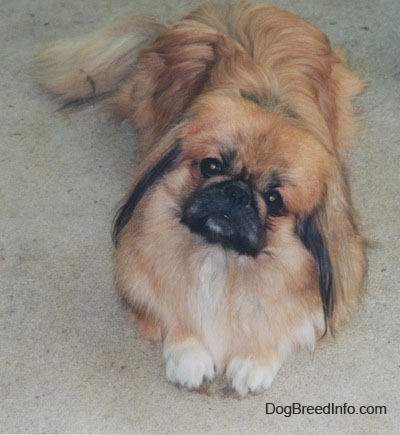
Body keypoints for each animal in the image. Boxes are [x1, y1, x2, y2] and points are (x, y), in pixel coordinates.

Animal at [34, 0, 366, 396]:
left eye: (273, 199)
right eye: (211, 166)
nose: (237, 191)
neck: (220, 259)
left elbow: (283, 327)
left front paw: (254, 359)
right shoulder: (143, 285)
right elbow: (174, 319)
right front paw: (188, 355)